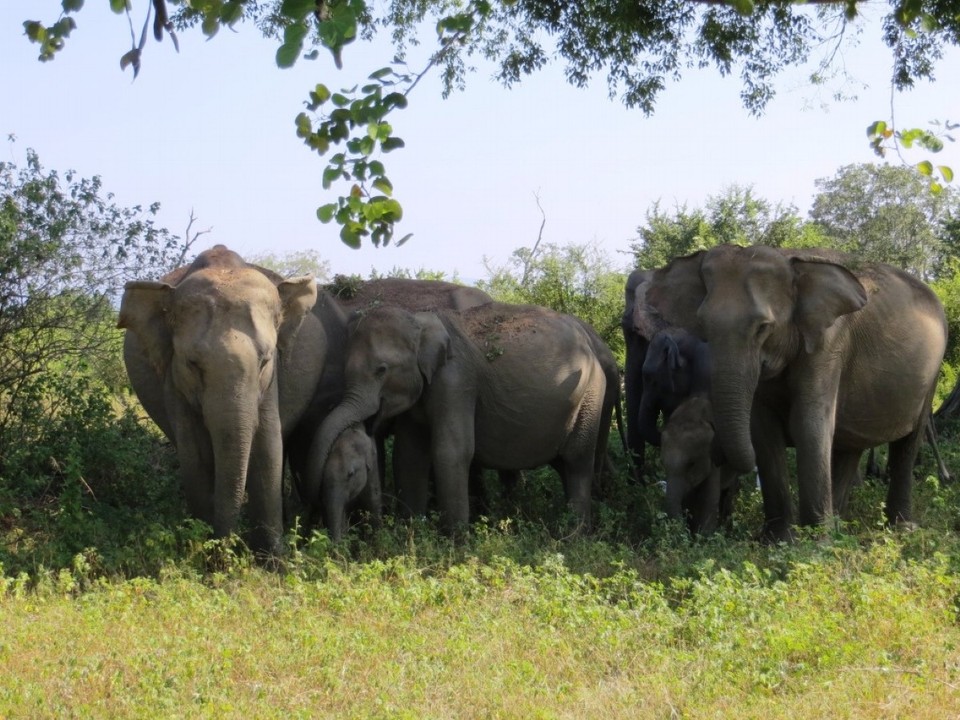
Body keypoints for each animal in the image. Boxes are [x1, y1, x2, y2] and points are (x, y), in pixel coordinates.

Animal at [119, 245, 340, 556]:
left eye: (265, 360)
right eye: (192, 364)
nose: (227, 547)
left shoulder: (270, 382)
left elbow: (268, 448)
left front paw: (273, 558)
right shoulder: (174, 382)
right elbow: (195, 455)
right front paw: (205, 552)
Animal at [304, 300, 612, 532]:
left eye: (381, 370)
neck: (420, 321)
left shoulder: (456, 380)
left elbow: (451, 452)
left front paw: (455, 543)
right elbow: (408, 454)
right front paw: (410, 533)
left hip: (591, 393)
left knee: (577, 460)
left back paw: (574, 536)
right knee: (564, 463)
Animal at [660, 394, 744, 536]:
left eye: (691, 464)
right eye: (664, 465)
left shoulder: (713, 456)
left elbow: (708, 499)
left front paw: (703, 537)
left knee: (728, 492)